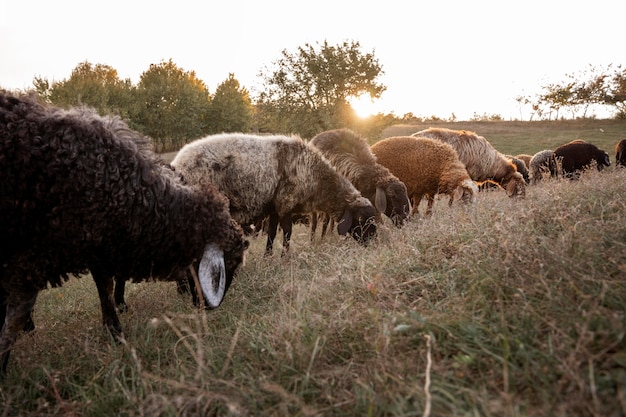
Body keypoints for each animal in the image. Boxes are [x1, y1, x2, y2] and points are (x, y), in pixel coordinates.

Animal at [0, 90, 249, 374]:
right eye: (228, 265)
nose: (207, 308)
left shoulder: (97, 241)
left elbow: (105, 288)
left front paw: (115, 329)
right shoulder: (36, 257)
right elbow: (13, 321)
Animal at [171, 132, 376, 255]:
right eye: (361, 219)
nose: (373, 244)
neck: (317, 180)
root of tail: (177, 164)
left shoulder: (275, 207)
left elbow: (271, 234)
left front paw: (268, 258)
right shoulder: (286, 203)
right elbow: (287, 233)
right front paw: (284, 257)